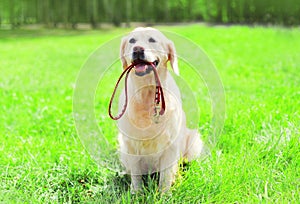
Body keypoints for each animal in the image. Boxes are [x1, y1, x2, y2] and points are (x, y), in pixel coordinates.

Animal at [117, 27, 204, 193]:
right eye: (132, 40)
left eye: (152, 40)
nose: (138, 49)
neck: (147, 93)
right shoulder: (130, 144)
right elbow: (136, 174)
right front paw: (136, 193)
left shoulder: (170, 144)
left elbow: (165, 176)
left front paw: (165, 194)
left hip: (193, 142)